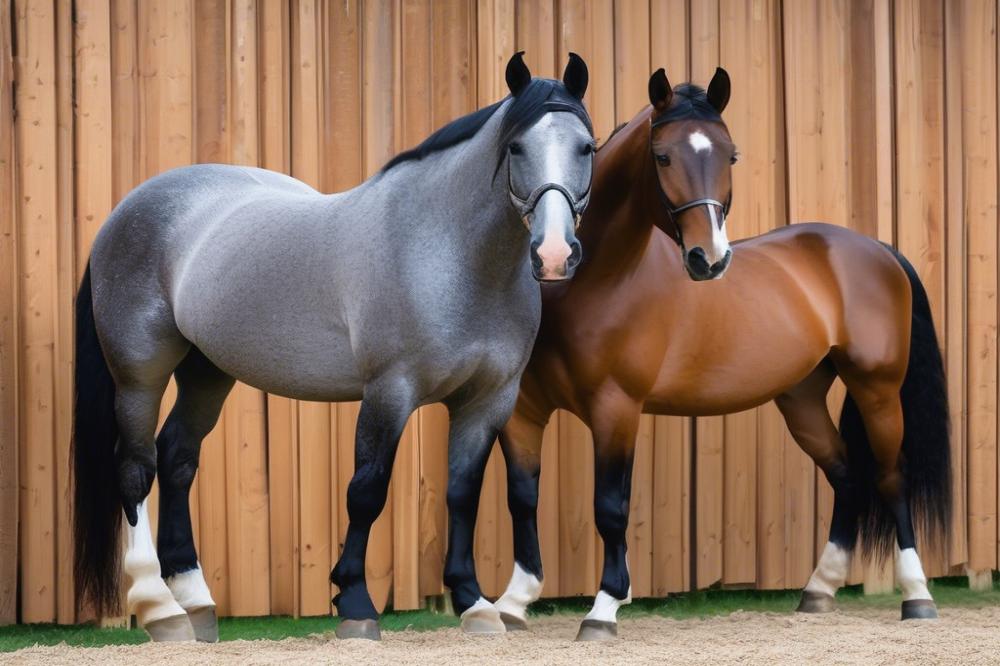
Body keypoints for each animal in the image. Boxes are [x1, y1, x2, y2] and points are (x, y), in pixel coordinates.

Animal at [72, 52, 595, 642]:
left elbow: (462, 492)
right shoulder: (389, 391)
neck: (446, 253)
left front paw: (472, 602)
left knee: (178, 458)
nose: (554, 255)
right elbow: (366, 491)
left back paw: (195, 598)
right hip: (139, 374)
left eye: (586, 147)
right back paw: (159, 607)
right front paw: (355, 601)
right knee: (137, 468)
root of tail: (124, 213)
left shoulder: (488, 400)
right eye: (516, 147)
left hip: (206, 372)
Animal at [492, 67, 951, 640]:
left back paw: (917, 595)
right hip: (801, 398)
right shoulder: (524, 411)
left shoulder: (617, 409)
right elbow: (521, 498)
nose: (708, 259)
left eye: (731, 155)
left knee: (890, 478)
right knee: (846, 474)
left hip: (878, 389)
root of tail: (878, 250)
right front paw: (513, 601)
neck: (590, 286)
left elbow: (611, 507)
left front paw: (603, 610)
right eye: (662, 156)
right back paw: (818, 590)